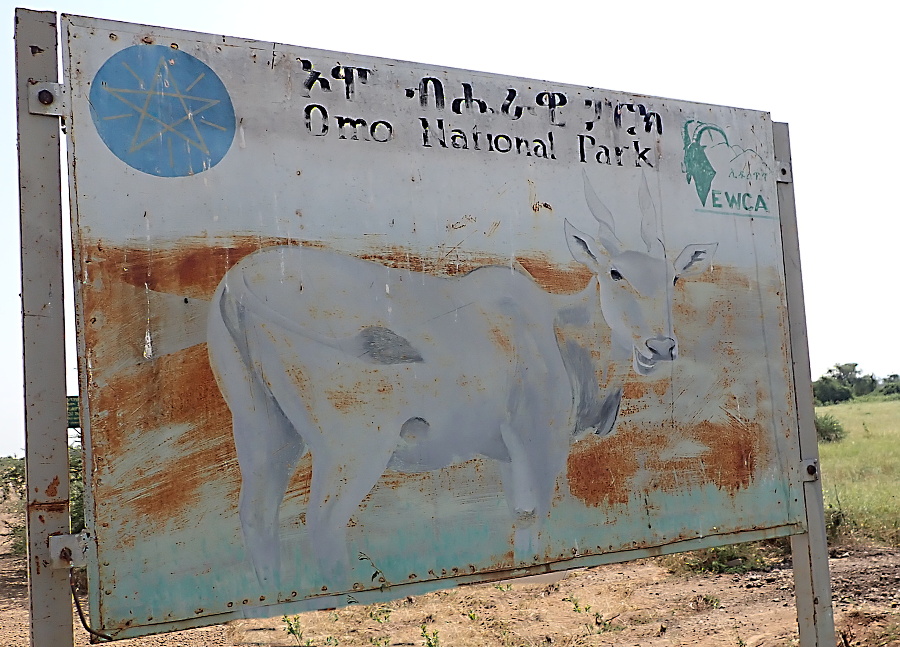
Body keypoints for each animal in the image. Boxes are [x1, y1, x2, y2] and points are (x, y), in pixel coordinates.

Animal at [206, 173, 716, 588]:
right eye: (615, 272)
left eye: (673, 276)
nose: (660, 347)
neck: (557, 327)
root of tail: (237, 282)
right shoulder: (540, 445)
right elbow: (533, 517)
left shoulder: (509, 454)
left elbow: (518, 517)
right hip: (353, 448)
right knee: (323, 525)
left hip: (266, 433)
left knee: (257, 519)